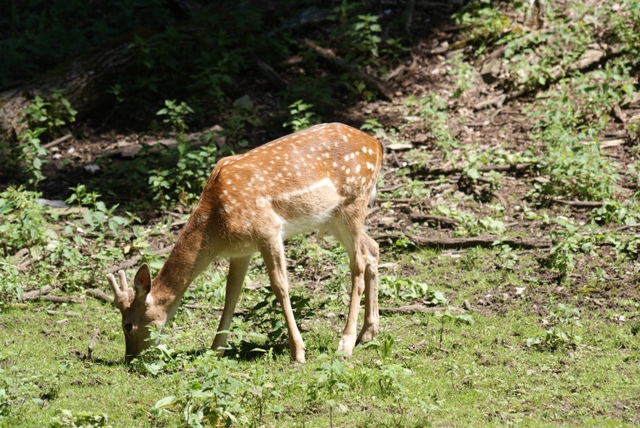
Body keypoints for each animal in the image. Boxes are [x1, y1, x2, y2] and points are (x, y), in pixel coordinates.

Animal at [106, 123, 383, 363]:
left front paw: (298, 352)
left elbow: (280, 286)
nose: (129, 359)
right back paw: (368, 333)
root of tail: (377, 144)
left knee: (358, 262)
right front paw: (216, 349)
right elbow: (232, 294)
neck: (217, 226)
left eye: (128, 325)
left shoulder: (268, 230)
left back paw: (346, 343)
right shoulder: (241, 251)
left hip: (353, 203)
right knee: (373, 248)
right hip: (333, 218)